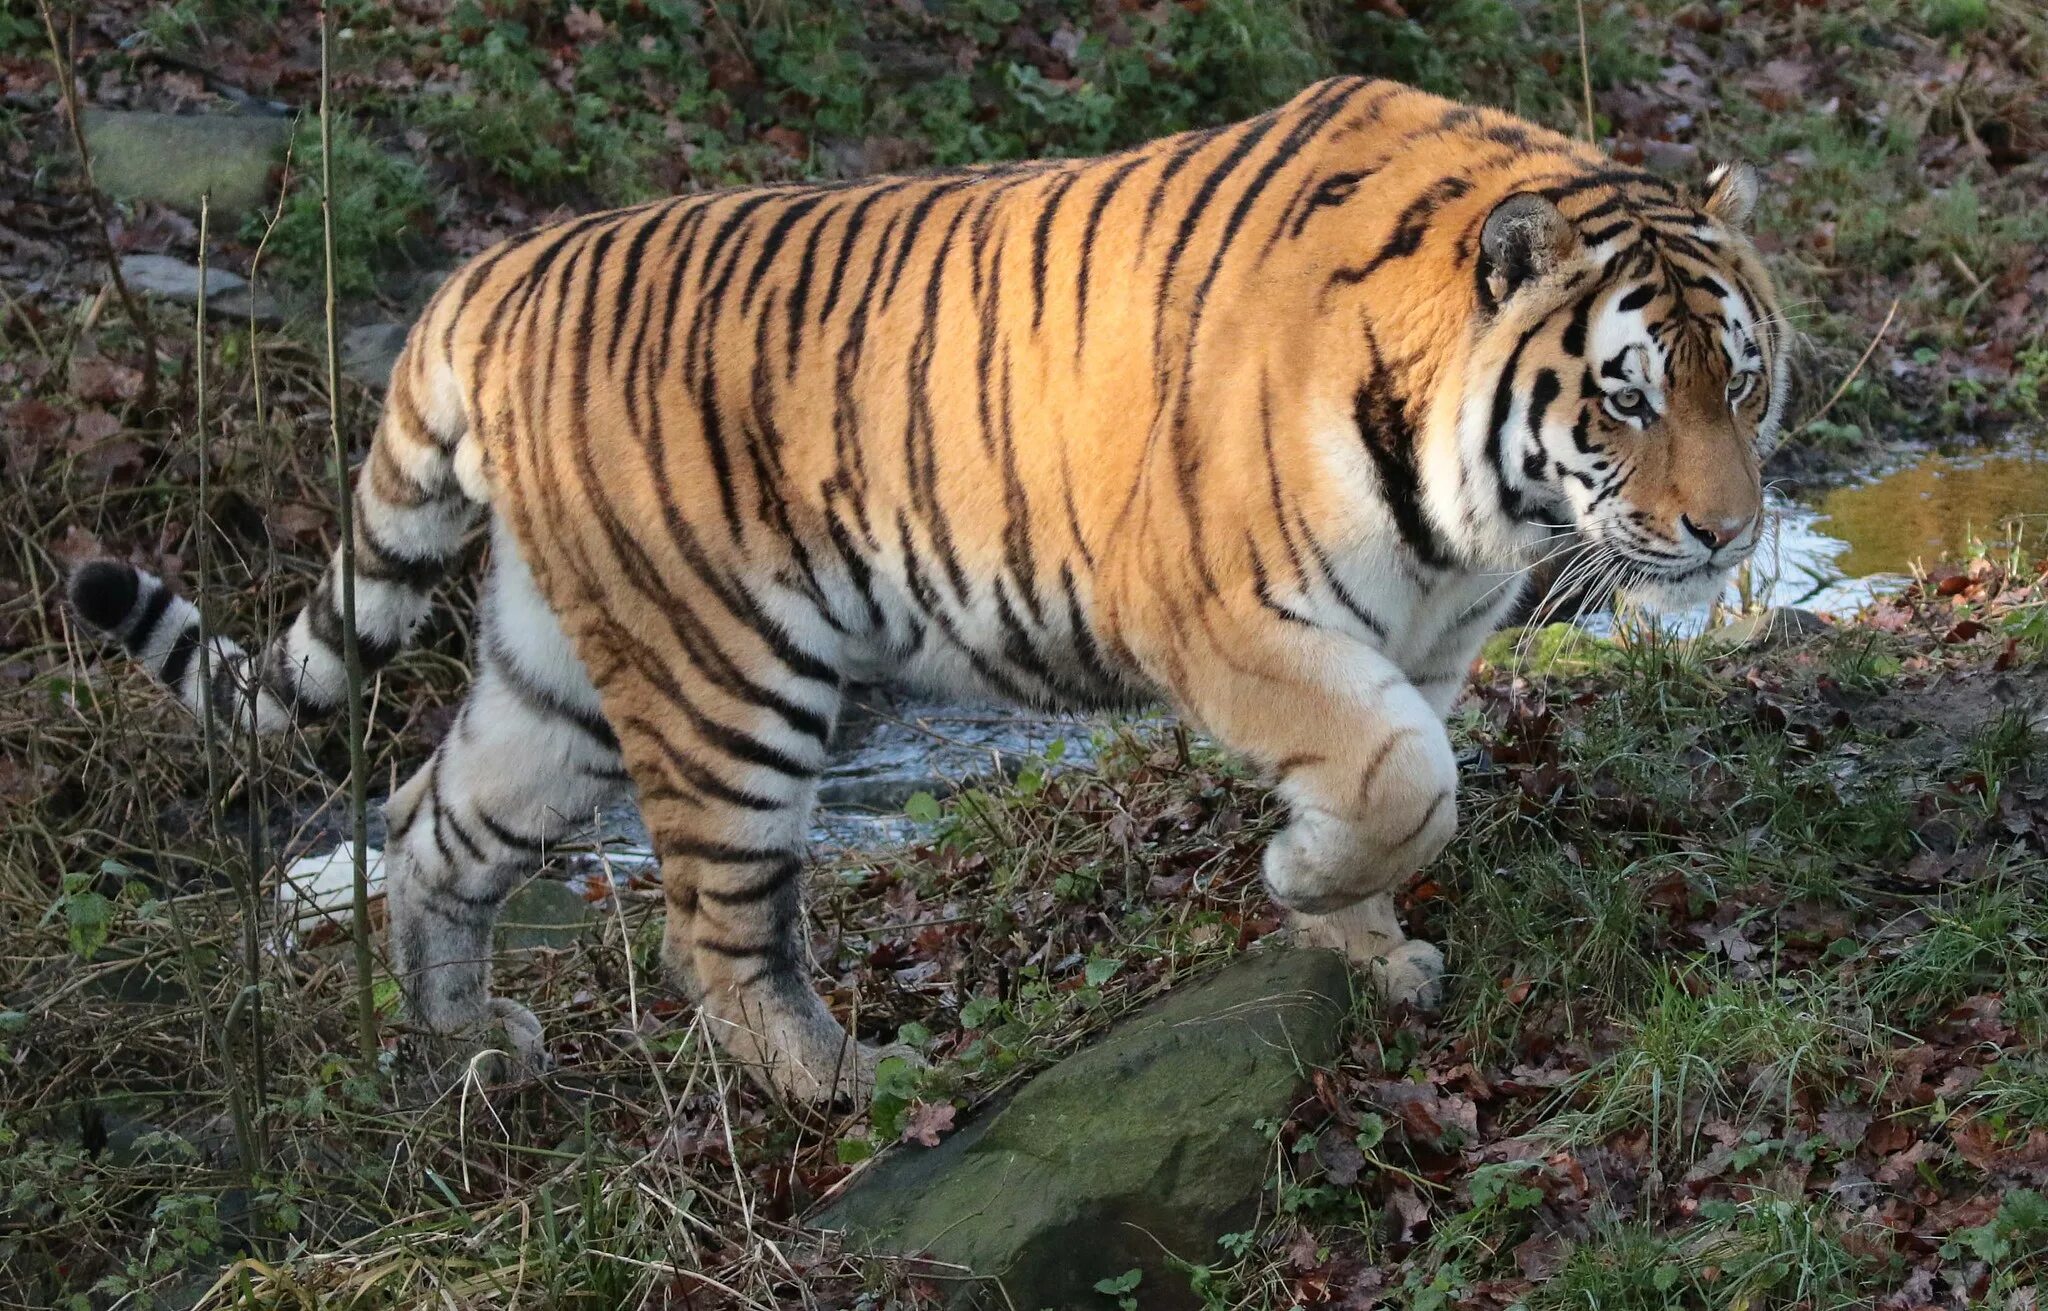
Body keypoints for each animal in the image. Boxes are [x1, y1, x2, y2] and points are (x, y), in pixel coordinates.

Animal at [72, 76, 1785, 1097]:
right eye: (1627, 398)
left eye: (1743, 382)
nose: (1725, 532)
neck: (1471, 509)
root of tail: (498, 269)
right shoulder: (1231, 613)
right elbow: (1400, 776)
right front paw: (1305, 882)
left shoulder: (1418, 636)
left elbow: (1409, 785)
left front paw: (1358, 935)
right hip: (726, 681)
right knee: (713, 922)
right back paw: (840, 1081)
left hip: (556, 678)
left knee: (434, 823)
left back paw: (458, 1045)